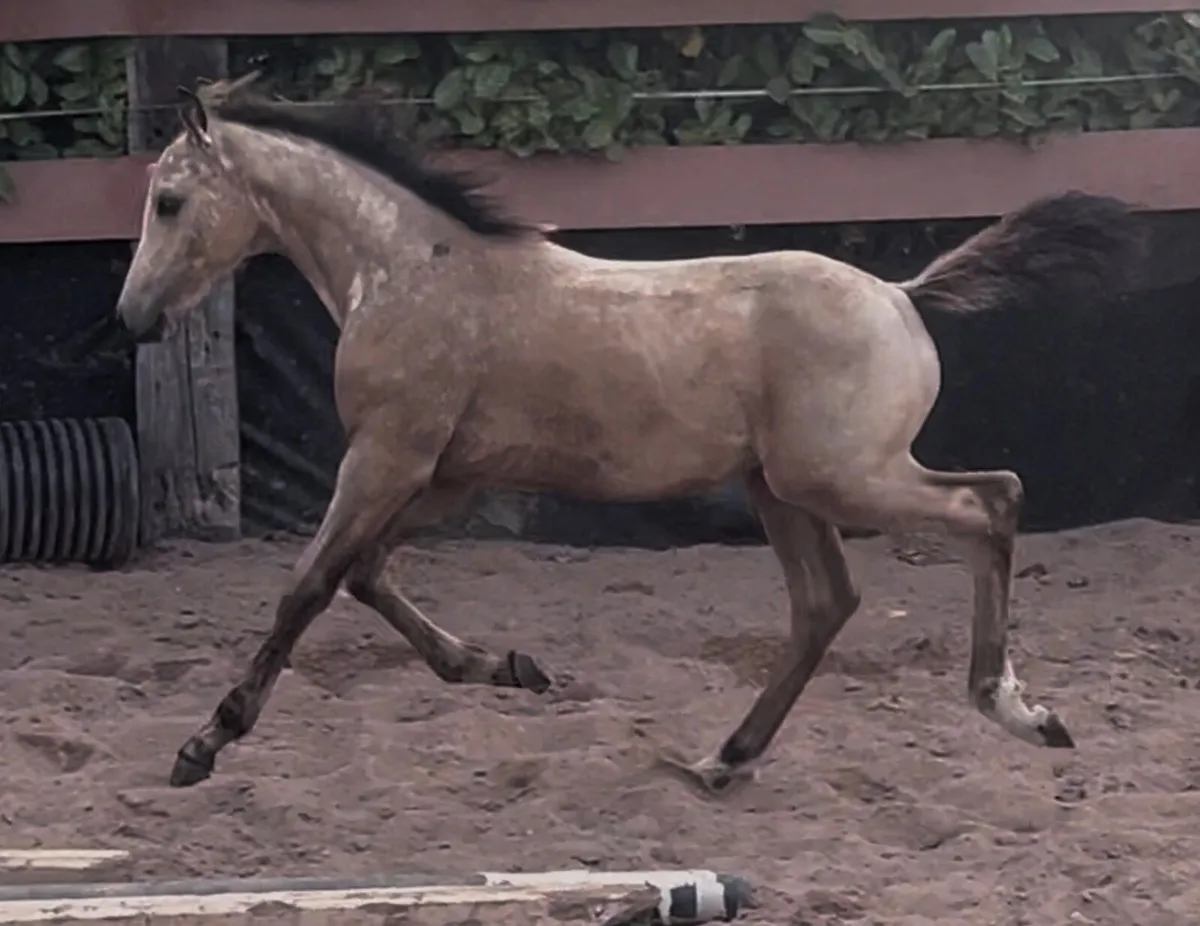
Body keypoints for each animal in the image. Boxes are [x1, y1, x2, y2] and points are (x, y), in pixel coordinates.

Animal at [114, 73, 1143, 795]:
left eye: (169, 201)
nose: (132, 317)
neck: (410, 270)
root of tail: (902, 294)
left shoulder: (385, 458)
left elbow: (309, 586)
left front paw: (204, 743)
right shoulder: (446, 476)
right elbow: (366, 576)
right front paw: (508, 668)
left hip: (843, 475)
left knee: (991, 500)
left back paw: (1015, 709)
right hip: (782, 488)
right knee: (828, 603)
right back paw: (727, 759)